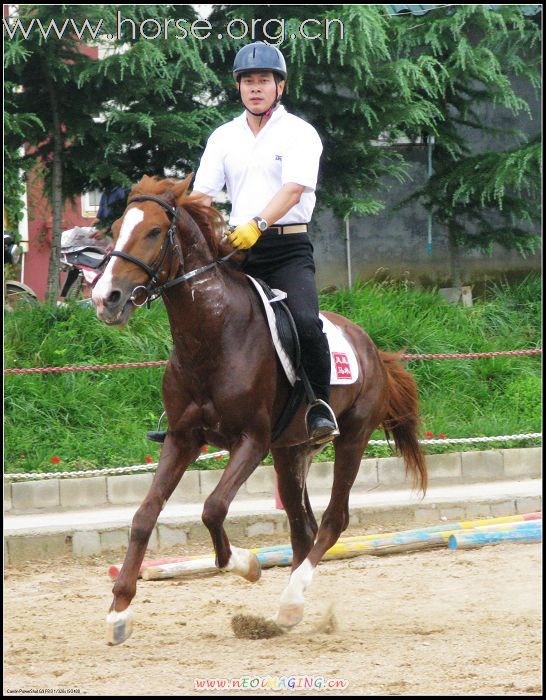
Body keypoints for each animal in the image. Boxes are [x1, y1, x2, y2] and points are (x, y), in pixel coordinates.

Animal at [91, 175, 428, 644]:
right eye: (118, 226)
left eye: (155, 231)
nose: (106, 298)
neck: (212, 335)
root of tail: (372, 348)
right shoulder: (182, 438)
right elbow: (144, 515)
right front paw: (119, 611)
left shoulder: (252, 440)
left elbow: (213, 508)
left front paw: (246, 565)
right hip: (291, 452)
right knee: (302, 528)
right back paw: (285, 613)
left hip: (353, 438)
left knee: (333, 520)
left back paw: (291, 602)